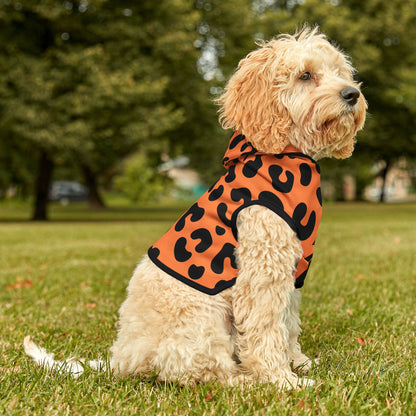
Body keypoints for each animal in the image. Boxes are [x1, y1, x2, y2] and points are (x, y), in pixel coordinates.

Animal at [24, 27, 366, 388]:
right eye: (305, 75)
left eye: (340, 72)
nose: (352, 94)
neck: (286, 154)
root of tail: (122, 359)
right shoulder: (263, 270)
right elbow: (266, 328)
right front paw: (281, 380)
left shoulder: (292, 272)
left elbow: (288, 323)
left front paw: (298, 363)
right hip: (202, 318)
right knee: (201, 371)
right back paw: (244, 380)